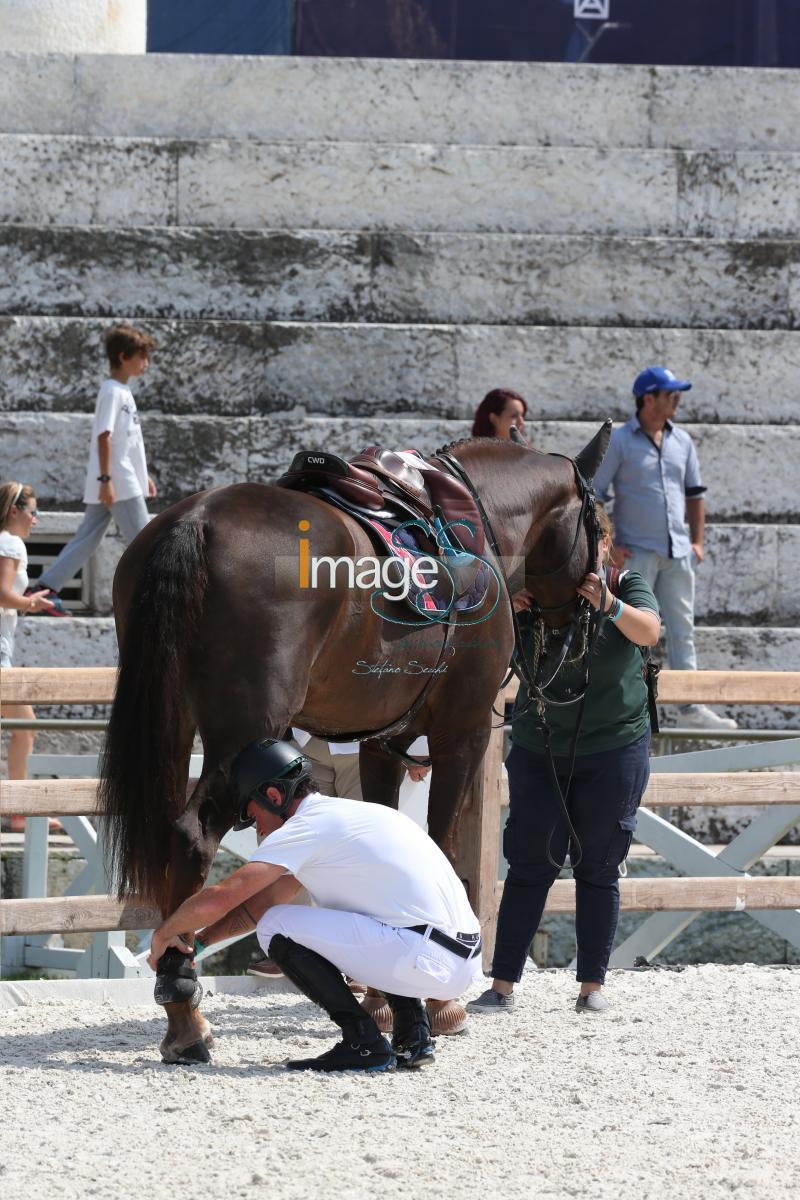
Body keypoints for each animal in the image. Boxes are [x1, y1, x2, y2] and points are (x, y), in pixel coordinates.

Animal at [103, 429, 609, 1060]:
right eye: (602, 526)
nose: (585, 619)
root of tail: (197, 520)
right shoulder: (462, 732)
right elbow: (441, 846)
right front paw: (439, 1004)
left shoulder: (383, 743)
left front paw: (381, 996)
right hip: (242, 727)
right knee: (193, 833)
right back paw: (186, 1012)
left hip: (169, 721)